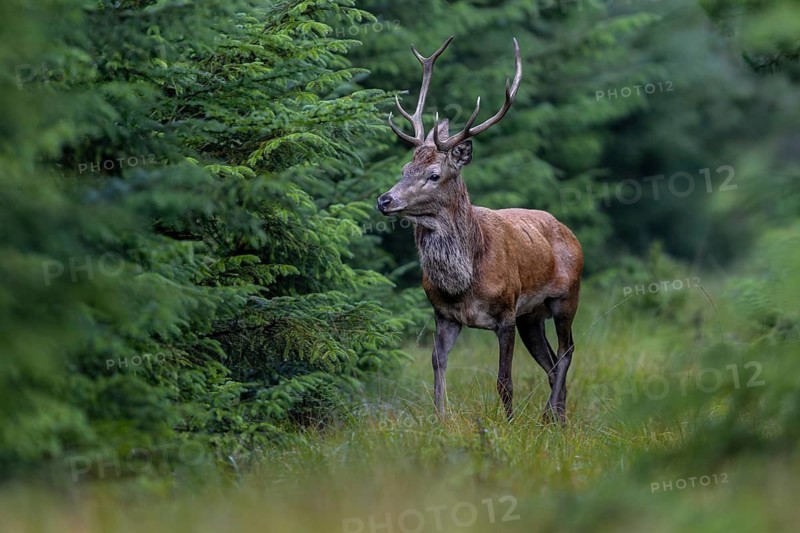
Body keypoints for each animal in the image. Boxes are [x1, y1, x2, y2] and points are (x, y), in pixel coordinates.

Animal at [377, 36, 583, 424]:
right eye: (404, 169)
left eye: (434, 175)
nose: (384, 200)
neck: (465, 281)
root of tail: (569, 233)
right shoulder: (444, 315)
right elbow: (437, 368)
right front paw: (440, 420)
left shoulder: (505, 314)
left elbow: (504, 380)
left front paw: (509, 426)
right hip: (532, 315)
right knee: (551, 361)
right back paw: (559, 421)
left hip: (566, 297)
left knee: (567, 351)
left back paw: (548, 416)